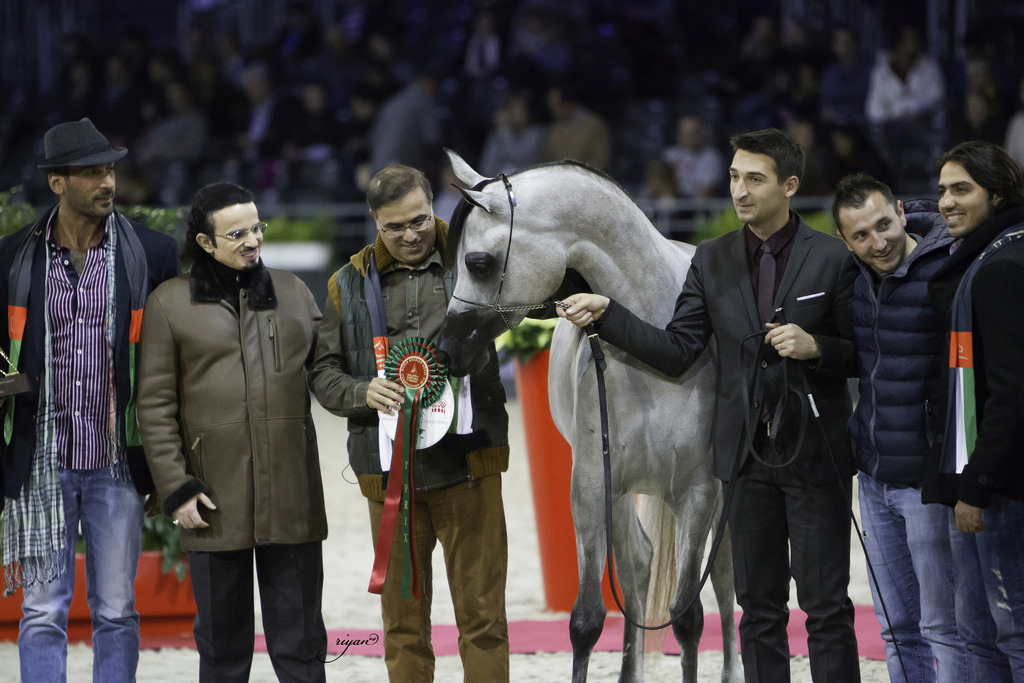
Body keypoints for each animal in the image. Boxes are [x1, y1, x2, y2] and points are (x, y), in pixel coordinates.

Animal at [436, 149, 744, 683]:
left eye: (478, 263)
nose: (448, 350)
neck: (658, 343)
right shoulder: (592, 487)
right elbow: (586, 620)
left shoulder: (699, 492)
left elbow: (688, 618)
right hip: (620, 496)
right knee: (638, 567)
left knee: (723, 581)